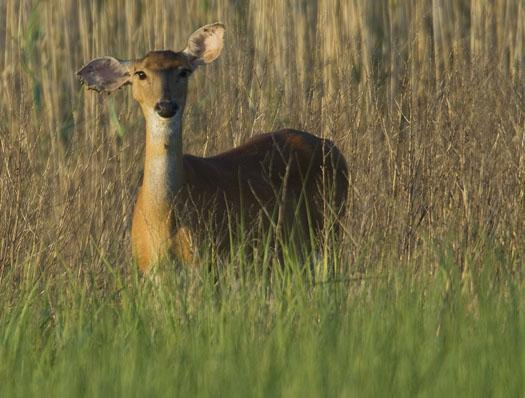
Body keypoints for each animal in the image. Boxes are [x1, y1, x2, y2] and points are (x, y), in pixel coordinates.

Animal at [78, 23, 348, 276]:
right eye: (140, 74)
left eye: (184, 71)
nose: (165, 106)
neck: (163, 216)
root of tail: (331, 146)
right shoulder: (149, 269)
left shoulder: (209, 261)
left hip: (330, 227)